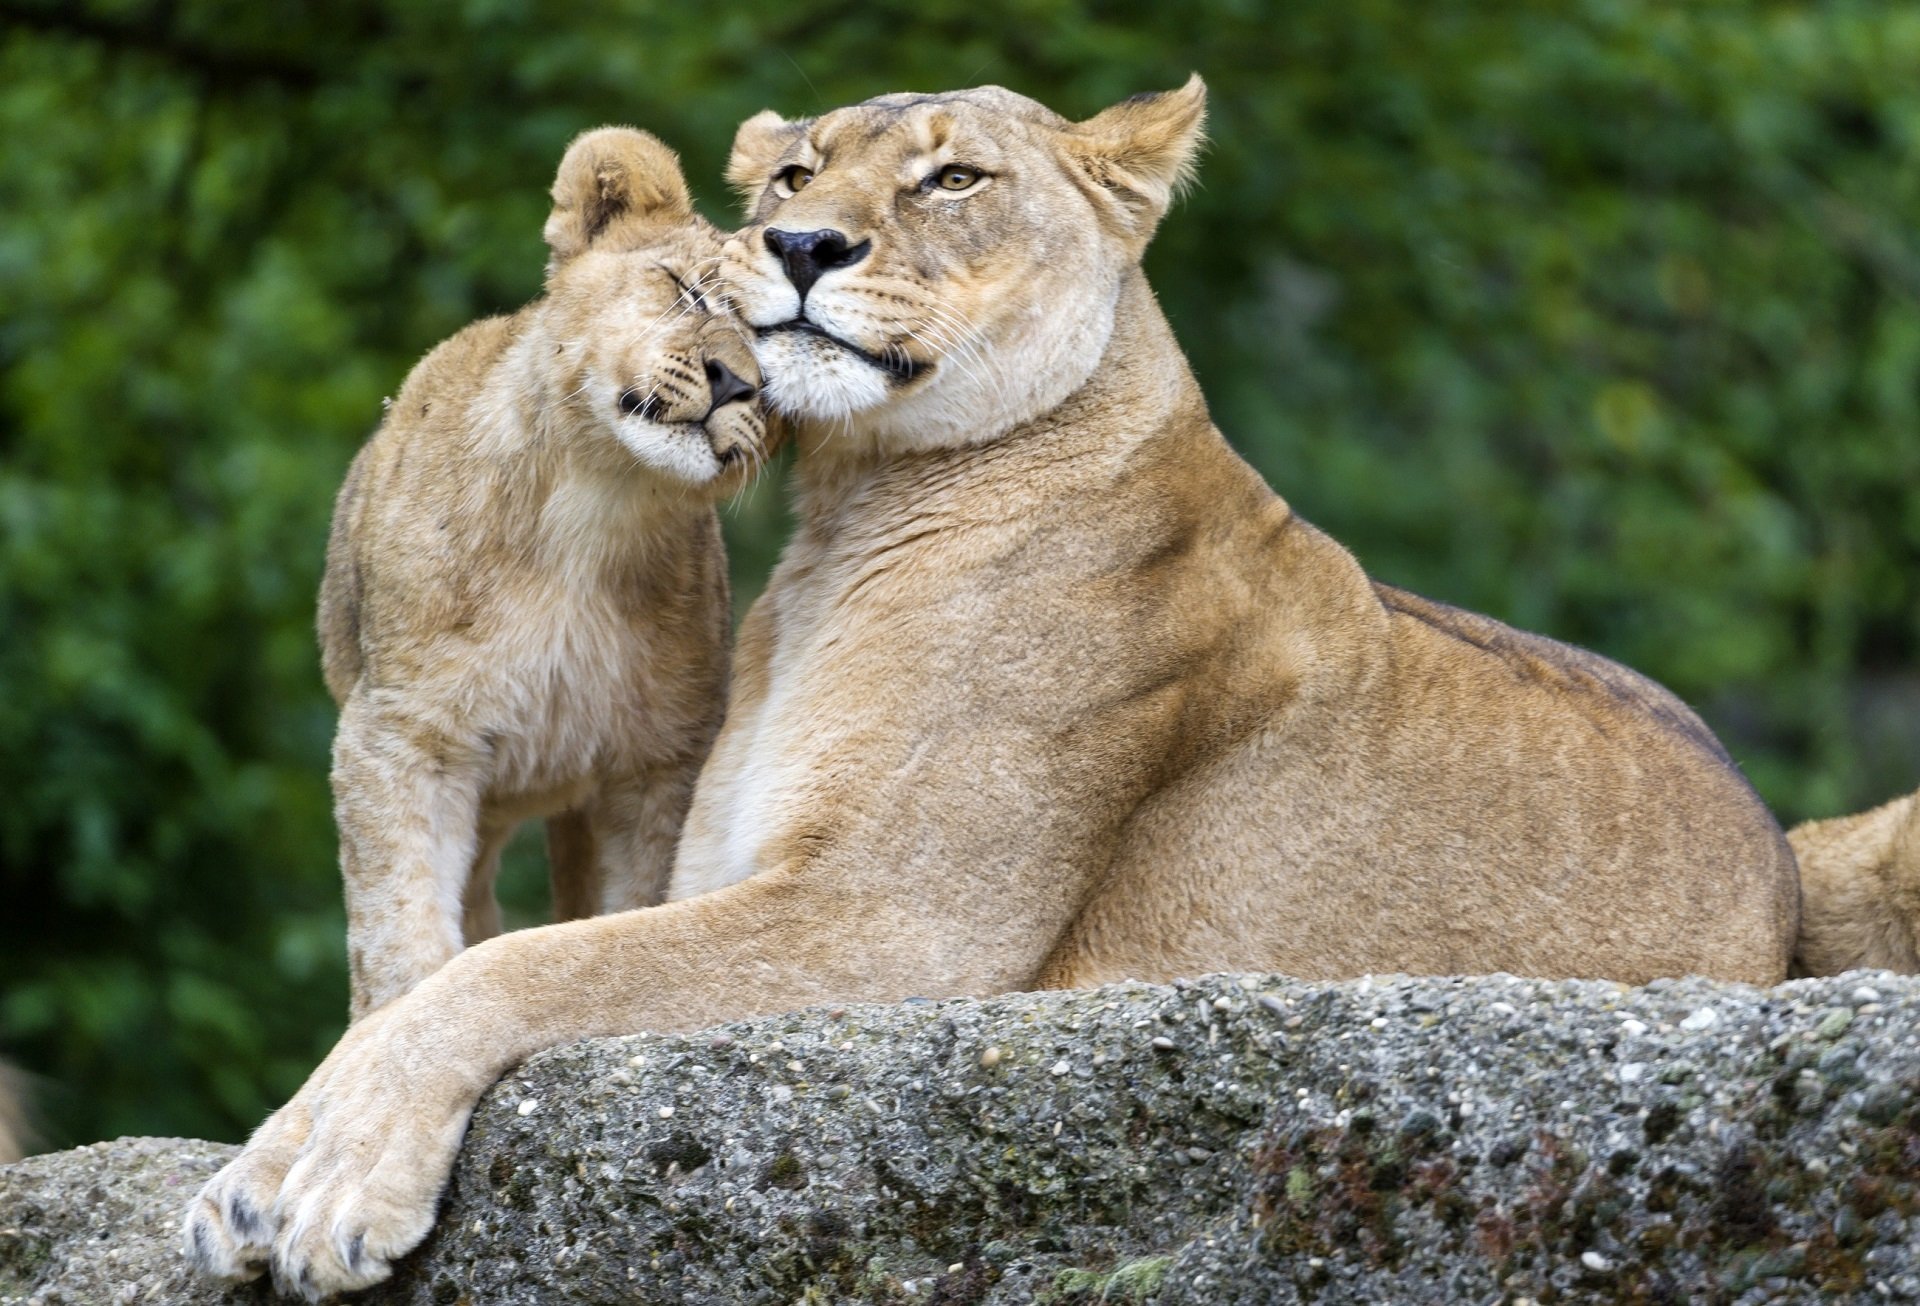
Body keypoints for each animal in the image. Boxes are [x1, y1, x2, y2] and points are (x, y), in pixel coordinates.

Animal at [317, 126, 767, 1020]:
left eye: (781, 344)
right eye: (685, 291)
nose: (736, 382)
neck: (595, 513)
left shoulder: (658, 763)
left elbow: (636, 910)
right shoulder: (402, 735)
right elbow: (398, 926)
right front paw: (394, 1029)